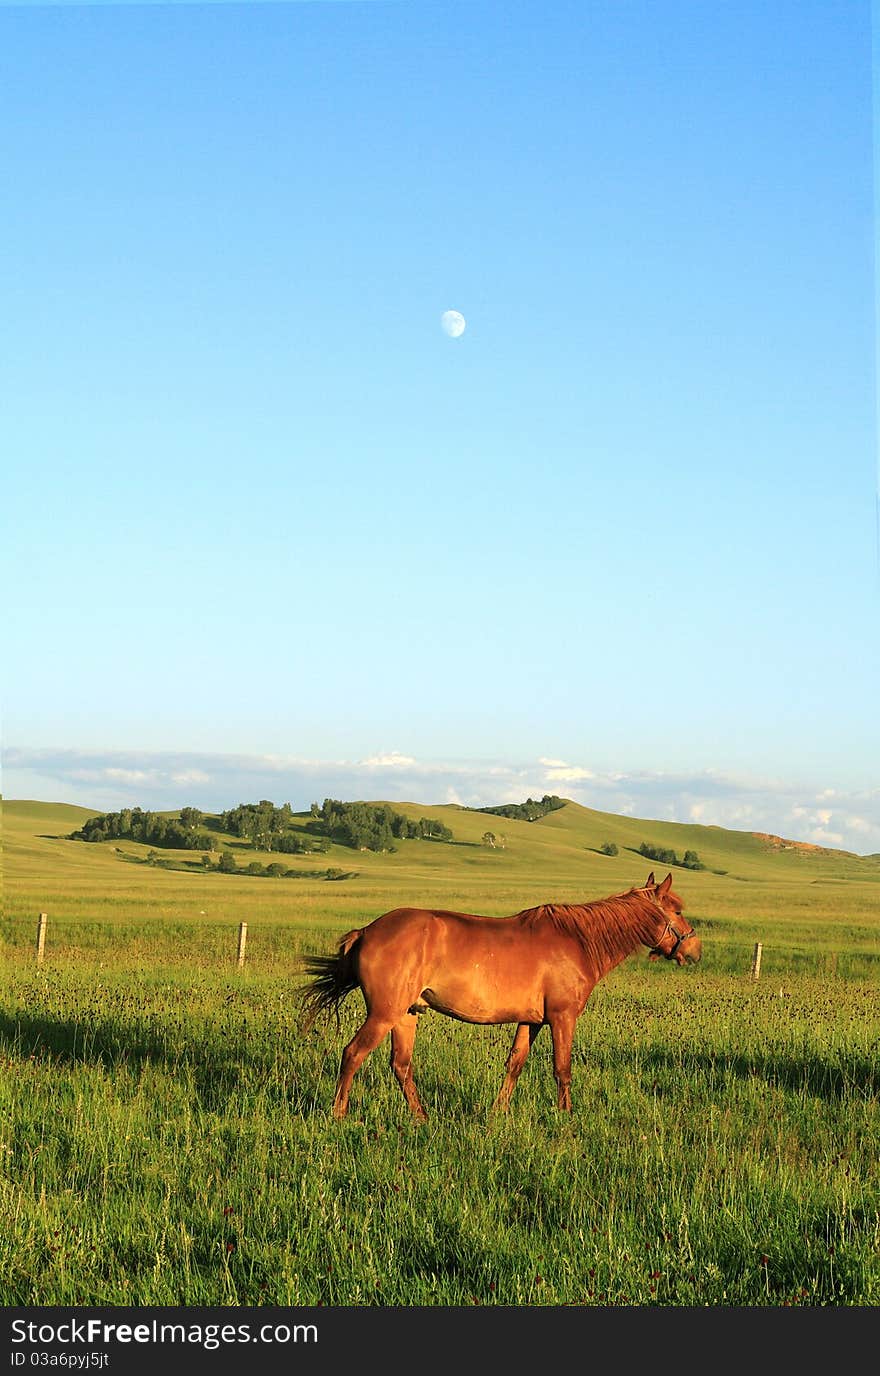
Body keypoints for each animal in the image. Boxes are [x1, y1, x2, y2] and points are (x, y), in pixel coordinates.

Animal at [302, 875, 701, 1122]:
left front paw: (498, 1112)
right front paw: (566, 1116)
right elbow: (562, 1069)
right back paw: (339, 1114)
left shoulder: (532, 1021)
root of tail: (368, 931)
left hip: (406, 1015)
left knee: (401, 1066)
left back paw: (421, 1117)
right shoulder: (562, 1017)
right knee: (353, 1054)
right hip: (384, 1015)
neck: (577, 940)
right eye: (678, 910)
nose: (695, 950)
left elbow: (515, 1064)